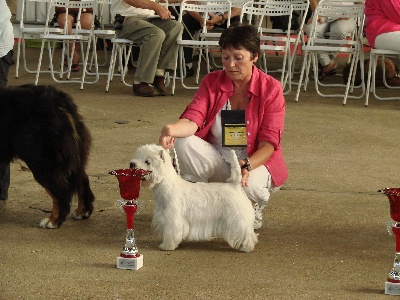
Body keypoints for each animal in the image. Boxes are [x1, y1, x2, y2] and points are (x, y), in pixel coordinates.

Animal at [0, 84, 94, 227]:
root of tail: (58, 100)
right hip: (73, 155)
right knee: (81, 179)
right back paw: (82, 212)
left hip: (42, 161)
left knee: (60, 191)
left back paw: (53, 220)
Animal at [130, 144, 258, 252]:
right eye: (138, 157)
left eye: (147, 161)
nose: (132, 164)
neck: (165, 185)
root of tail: (235, 185)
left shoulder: (172, 218)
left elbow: (171, 232)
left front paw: (167, 246)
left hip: (237, 217)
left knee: (245, 231)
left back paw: (246, 247)